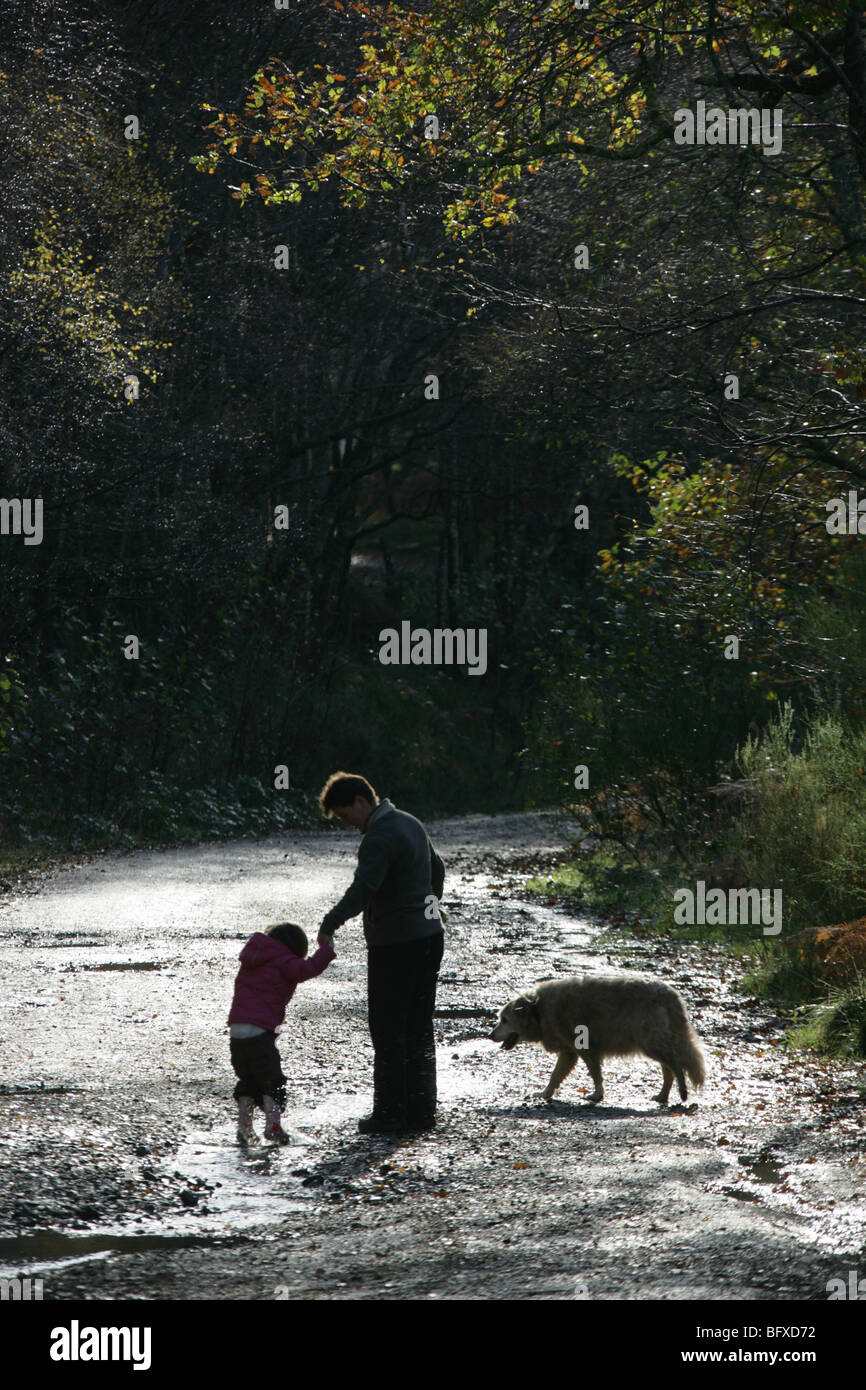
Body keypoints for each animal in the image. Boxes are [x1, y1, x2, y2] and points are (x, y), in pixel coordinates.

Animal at [492, 973, 708, 1100]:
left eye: (504, 1020)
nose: (489, 1035)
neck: (537, 1009)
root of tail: (672, 995)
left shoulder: (585, 1048)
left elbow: (595, 1074)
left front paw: (597, 1094)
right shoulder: (569, 1052)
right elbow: (555, 1075)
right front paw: (546, 1093)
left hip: (650, 1042)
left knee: (676, 1065)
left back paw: (682, 1091)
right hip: (654, 1044)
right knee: (668, 1069)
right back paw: (663, 1095)